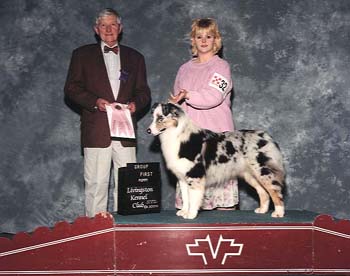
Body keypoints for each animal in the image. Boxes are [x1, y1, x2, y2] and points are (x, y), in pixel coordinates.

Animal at [146, 102, 286, 219]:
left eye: (160, 118)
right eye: (153, 117)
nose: (148, 131)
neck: (176, 135)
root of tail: (266, 136)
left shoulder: (195, 175)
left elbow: (193, 197)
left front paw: (191, 214)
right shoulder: (182, 178)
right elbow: (185, 198)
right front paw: (184, 211)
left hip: (262, 171)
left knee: (275, 191)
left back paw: (278, 213)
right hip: (250, 175)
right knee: (263, 192)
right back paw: (262, 210)